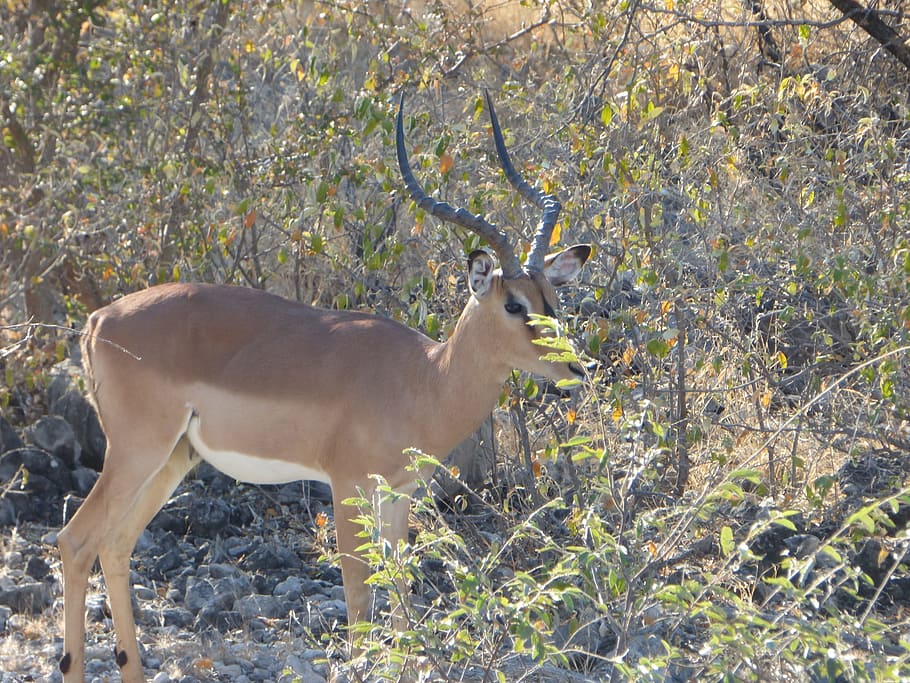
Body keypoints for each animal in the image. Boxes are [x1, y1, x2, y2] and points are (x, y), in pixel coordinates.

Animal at [56, 91, 591, 682]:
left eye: (551, 297)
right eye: (513, 305)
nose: (575, 369)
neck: (424, 378)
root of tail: (98, 320)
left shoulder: (398, 493)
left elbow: (400, 595)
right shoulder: (347, 486)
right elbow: (359, 601)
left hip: (173, 460)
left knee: (115, 546)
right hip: (136, 452)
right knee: (75, 541)